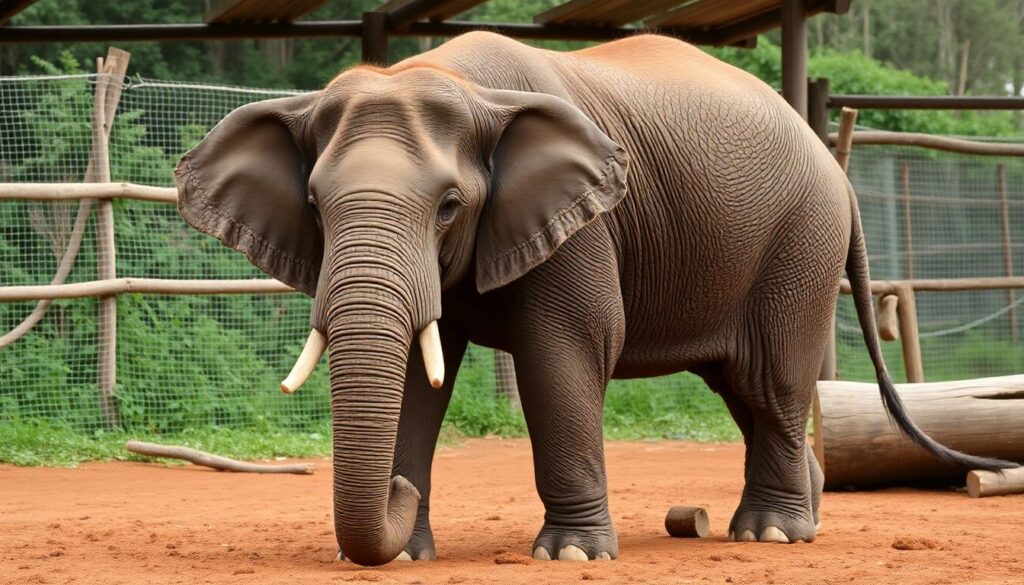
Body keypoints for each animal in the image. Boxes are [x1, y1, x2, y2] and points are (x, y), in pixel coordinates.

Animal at [174, 32, 1012, 566]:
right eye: (315, 206)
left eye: (449, 207)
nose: (398, 489)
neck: (453, 78)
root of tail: (835, 164)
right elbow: (417, 375)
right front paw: (408, 549)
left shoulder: (586, 225)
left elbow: (566, 350)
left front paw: (571, 553)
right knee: (744, 389)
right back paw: (795, 516)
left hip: (800, 240)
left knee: (773, 383)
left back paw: (772, 536)